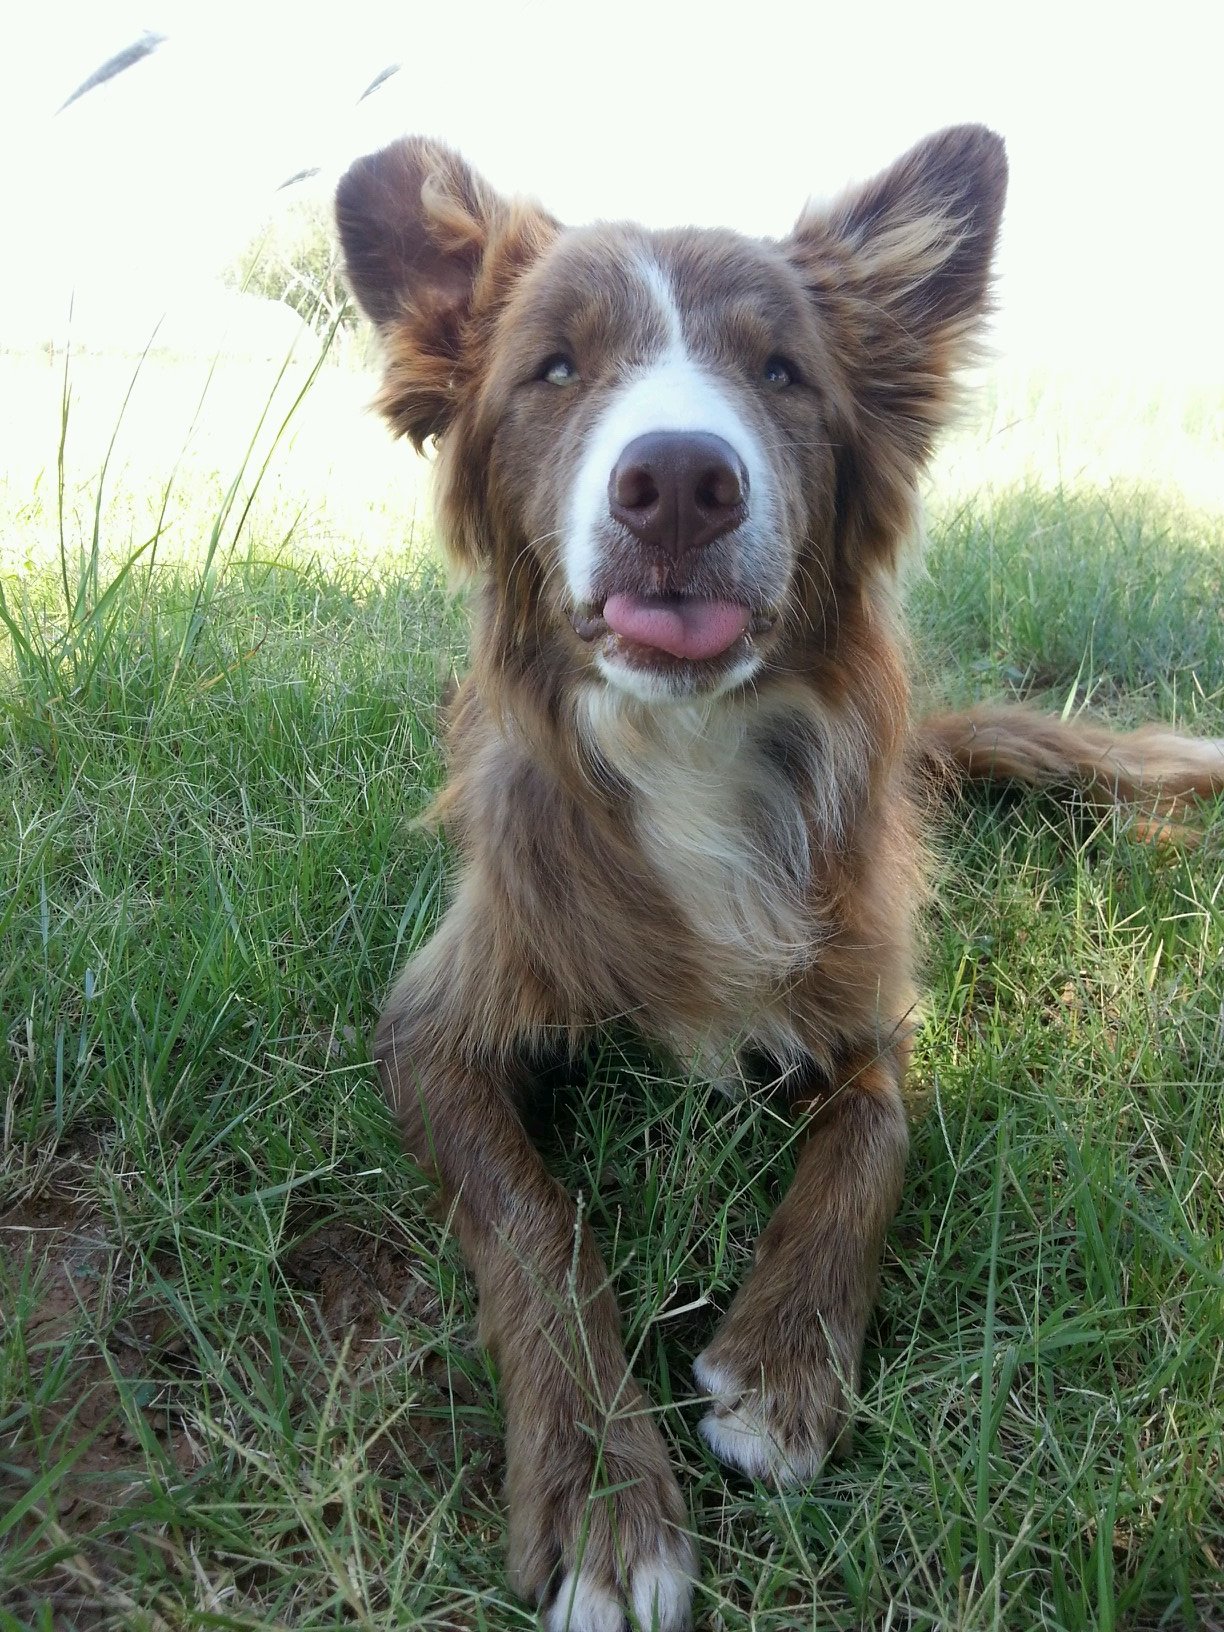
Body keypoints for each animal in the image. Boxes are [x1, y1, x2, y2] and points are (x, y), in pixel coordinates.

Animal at [336, 130, 1224, 1632]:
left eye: (782, 372)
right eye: (554, 369)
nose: (681, 483)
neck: (688, 747)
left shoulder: (866, 993)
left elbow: (875, 1139)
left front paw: (784, 1370)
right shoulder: (441, 1023)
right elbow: (535, 1224)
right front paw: (603, 1496)